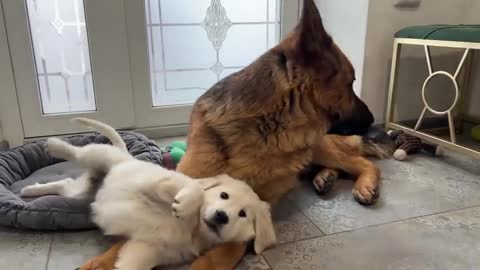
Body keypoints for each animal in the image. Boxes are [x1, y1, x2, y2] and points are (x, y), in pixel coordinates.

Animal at [21, 118, 278, 270]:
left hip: (82, 192)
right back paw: (53, 145)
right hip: (100, 155)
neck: (193, 229)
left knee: (64, 184)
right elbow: (194, 188)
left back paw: (29, 190)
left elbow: (129, 264)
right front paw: (184, 204)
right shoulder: (153, 183)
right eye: (224, 196)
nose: (222, 216)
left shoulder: (146, 249)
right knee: (77, 152)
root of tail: (125, 154)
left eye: (243, 214)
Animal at [80, 1, 388, 268]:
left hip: (320, 146)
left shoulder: (255, 208)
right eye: (350, 83)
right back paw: (325, 178)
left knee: (365, 163)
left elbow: (228, 247)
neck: (265, 129)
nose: (374, 121)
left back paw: (363, 184)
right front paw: (103, 260)